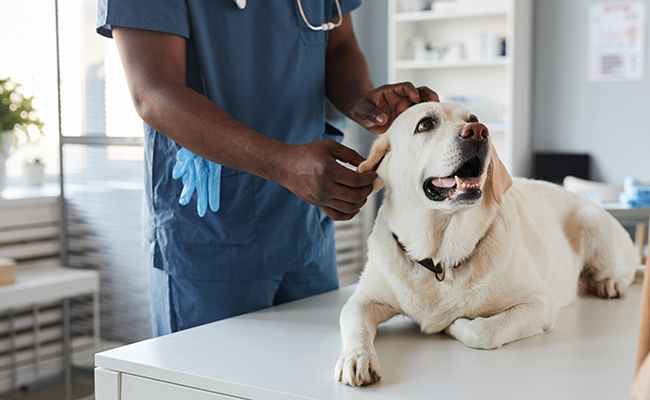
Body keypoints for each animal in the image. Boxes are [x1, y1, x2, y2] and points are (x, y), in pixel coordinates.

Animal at [336, 101, 636, 386]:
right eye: (425, 124)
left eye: (472, 118)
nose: (479, 131)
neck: (441, 256)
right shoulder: (363, 300)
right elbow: (354, 323)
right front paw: (357, 358)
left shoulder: (540, 302)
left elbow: (484, 331)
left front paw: (453, 324)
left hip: (592, 221)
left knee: (627, 271)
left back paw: (609, 284)